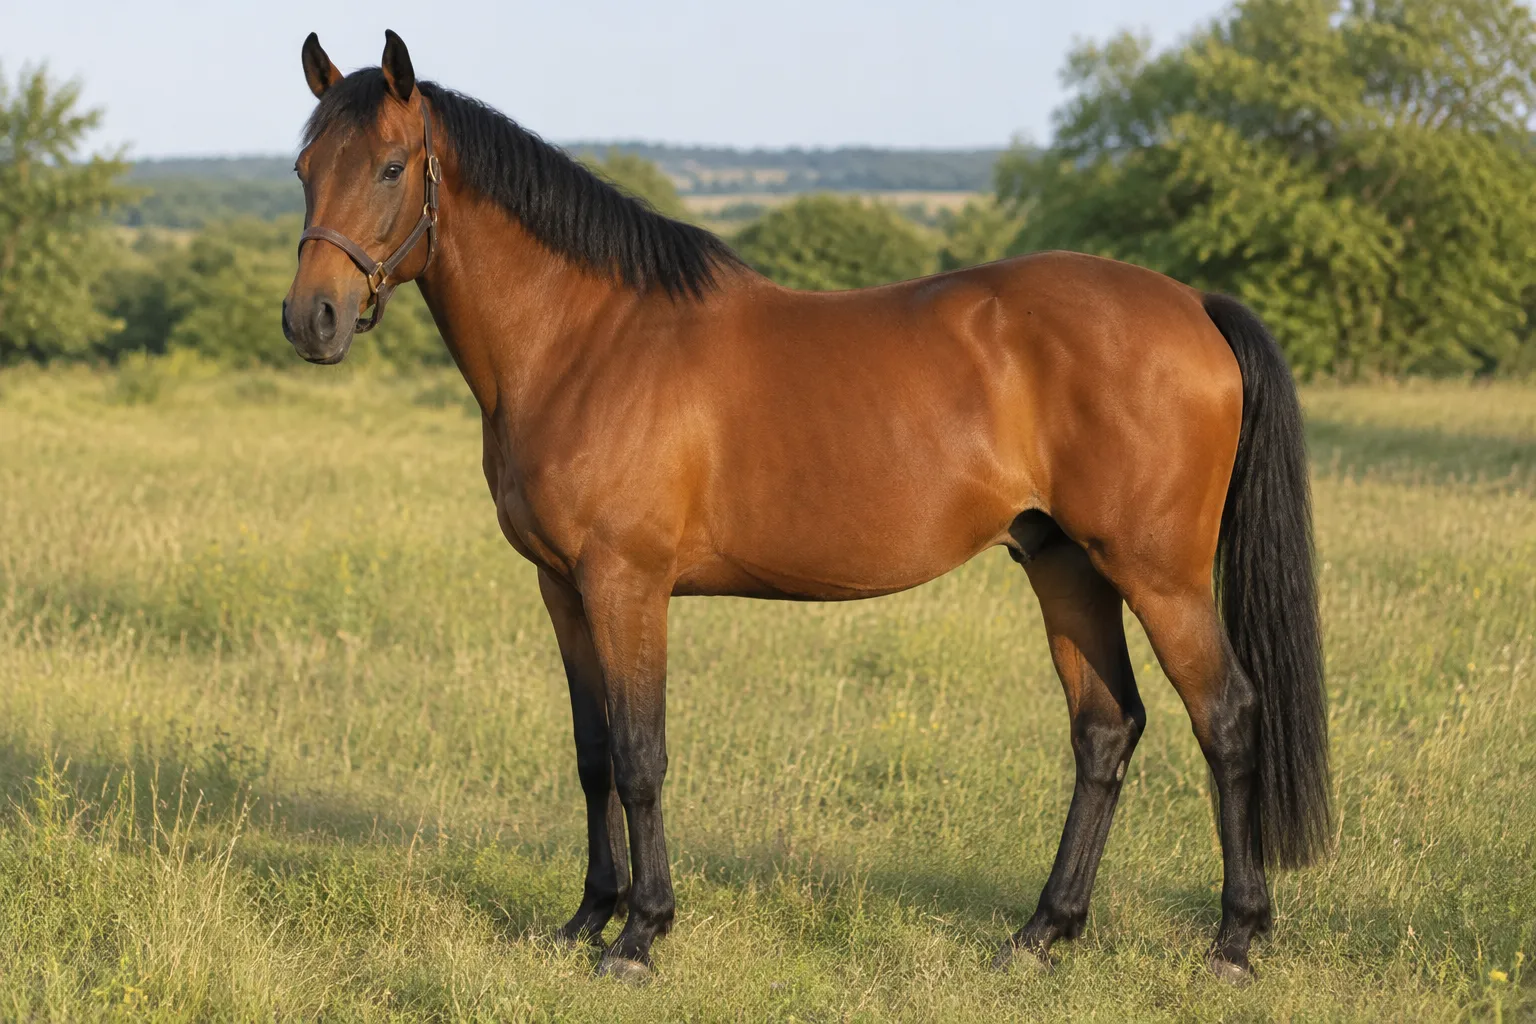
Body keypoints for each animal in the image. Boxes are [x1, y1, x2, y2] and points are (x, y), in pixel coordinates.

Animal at [283, 30, 1330, 985]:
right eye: (301, 169)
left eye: (388, 168)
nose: (311, 320)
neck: (588, 340)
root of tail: (1193, 307)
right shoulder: (562, 588)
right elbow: (592, 754)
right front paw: (586, 919)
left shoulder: (627, 585)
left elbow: (641, 756)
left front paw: (640, 937)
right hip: (1066, 564)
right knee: (1106, 730)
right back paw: (1042, 934)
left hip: (1160, 577)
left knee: (1228, 719)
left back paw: (1234, 942)